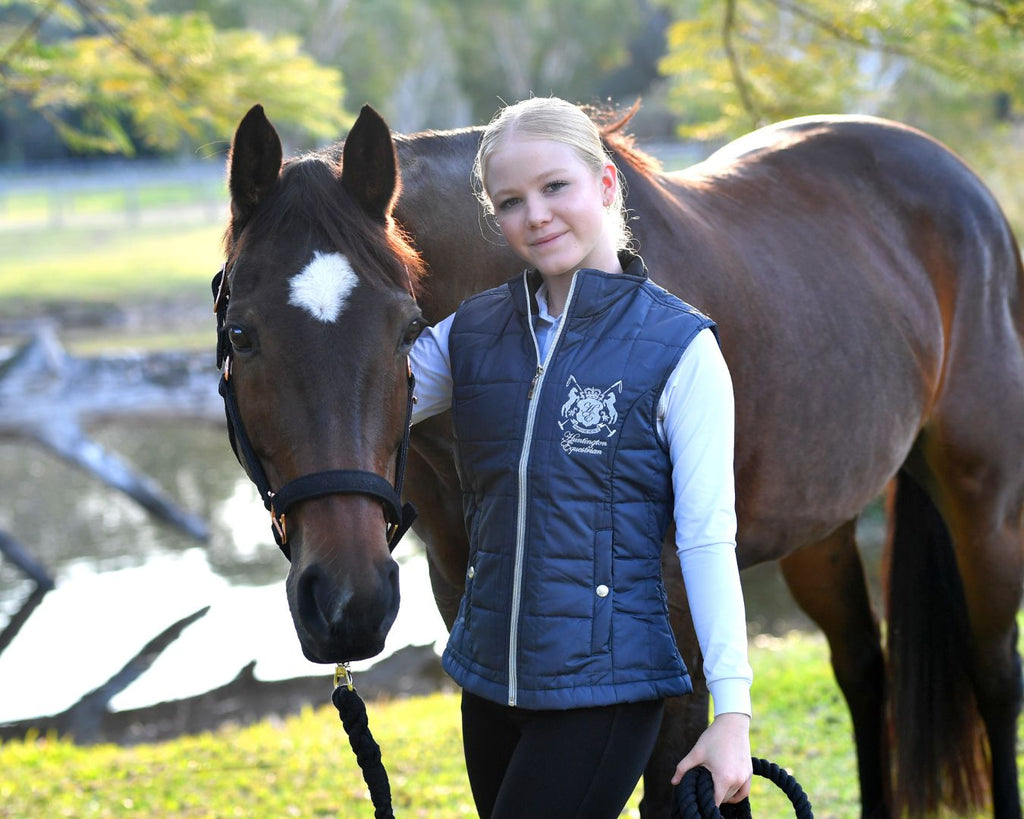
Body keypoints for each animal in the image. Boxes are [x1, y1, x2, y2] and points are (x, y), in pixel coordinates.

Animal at [220, 103, 1019, 818]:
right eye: (241, 335)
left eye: (408, 329)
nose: (346, 601)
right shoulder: (462, 606)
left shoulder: (680, 636)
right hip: (821, 526)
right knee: (863, 669)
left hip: (985, 504)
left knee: (994, 675)